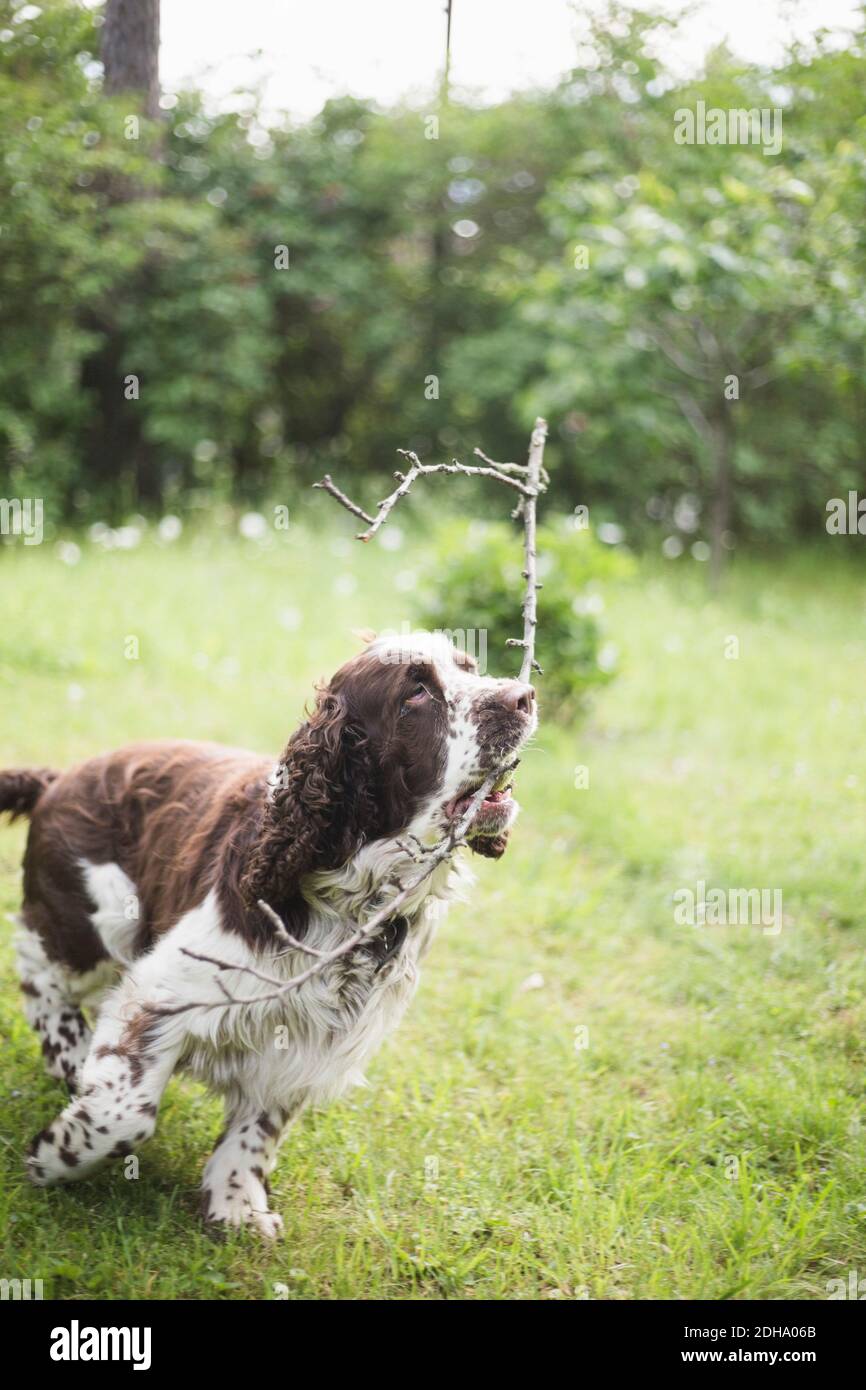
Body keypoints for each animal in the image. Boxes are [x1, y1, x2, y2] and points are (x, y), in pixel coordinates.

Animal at [1, 633, 536, 1239]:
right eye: (415, 693)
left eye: (470, 667)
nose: (523, 696)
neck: (354, 887)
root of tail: (59, 779)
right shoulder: (161, 992)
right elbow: (125, 1115)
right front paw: (54, 1155)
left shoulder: (306, 1038)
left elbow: (259, 1126)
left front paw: (235, 1201)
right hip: (101, 916)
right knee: (39, 965)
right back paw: (69, 1054)